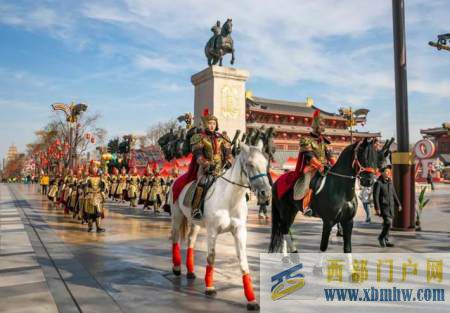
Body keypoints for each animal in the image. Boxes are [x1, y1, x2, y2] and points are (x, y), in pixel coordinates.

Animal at [169, 141, 270, 310]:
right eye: (250, 164)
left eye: (266, 164)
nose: (266, 193)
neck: (230, 199)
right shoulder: (212, 231)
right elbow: (211, 257)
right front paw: (210, 287)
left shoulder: (240, 231)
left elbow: (243, 260)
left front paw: (251, 299)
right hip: (177, 215)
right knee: (175, 237)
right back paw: (176, 268)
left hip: (195, 222)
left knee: (191, 241)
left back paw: (190, 271)